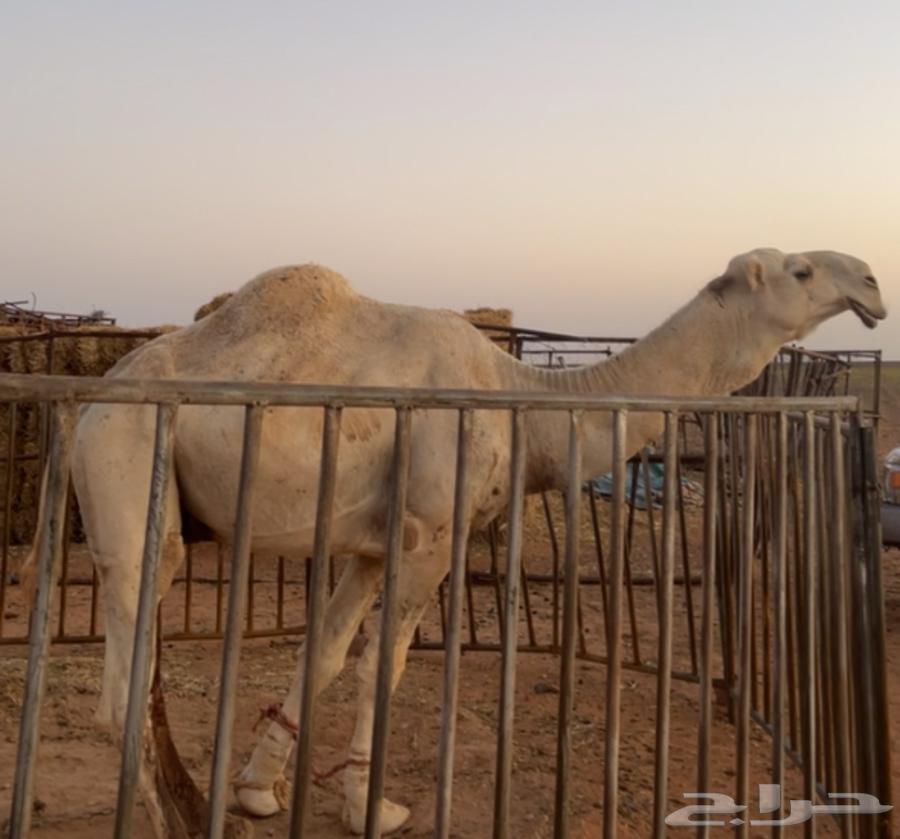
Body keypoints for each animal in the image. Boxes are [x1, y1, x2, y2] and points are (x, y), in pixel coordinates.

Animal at [23, 248, 885, 837]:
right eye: (803, 269)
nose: (872, 282)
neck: (521, 397)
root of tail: (88, 404)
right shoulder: (433, 533)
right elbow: (385, 662)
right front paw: (374, 806)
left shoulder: (376, 541)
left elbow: (324, 653)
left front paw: (259, 789)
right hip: (129, 465)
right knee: (121, 682)